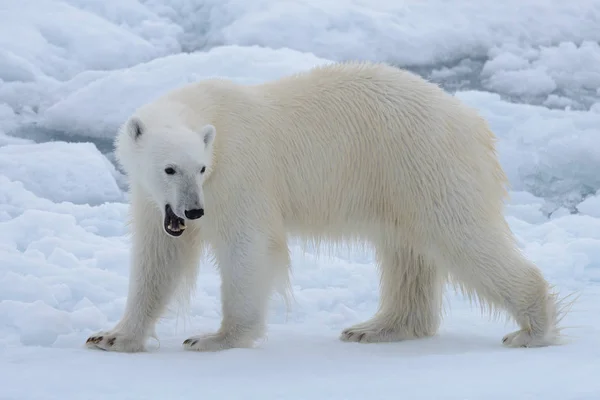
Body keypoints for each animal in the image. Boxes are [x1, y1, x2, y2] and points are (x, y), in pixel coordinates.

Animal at [84, 61, 568, 352]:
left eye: (201, 168)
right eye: (169, 169)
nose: (193, 212)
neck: (210, 110)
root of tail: (474, 123)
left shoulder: (239, 171)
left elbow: (247, 246)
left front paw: (215, 338)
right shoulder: (152, 200)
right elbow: (157, 259)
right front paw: (111, 336)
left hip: (425, 162)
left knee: (462, 235)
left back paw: (531, 329)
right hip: (400, 181)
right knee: (407, 253)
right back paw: (375, 327)